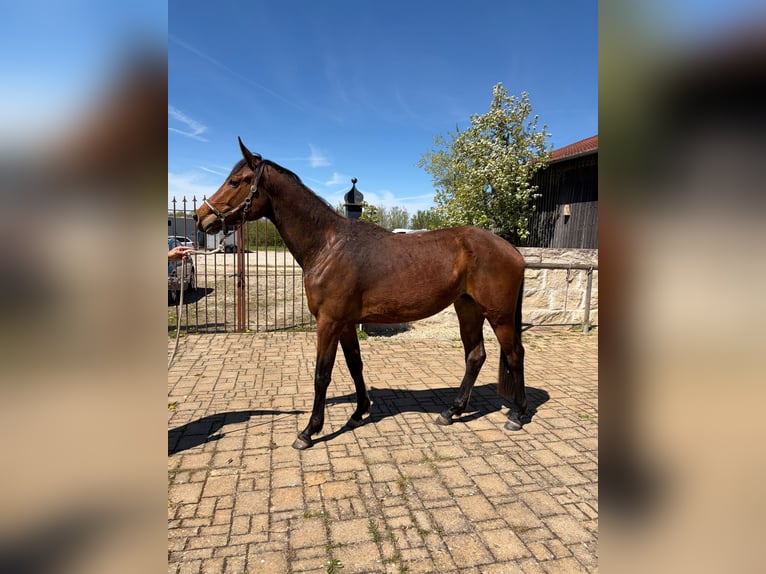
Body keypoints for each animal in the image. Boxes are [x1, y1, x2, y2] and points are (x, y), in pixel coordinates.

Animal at [195, 138, 528, 450]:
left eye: (235, 181)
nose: (201, 217)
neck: (327, 246)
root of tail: (512, 250)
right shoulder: (344, 323)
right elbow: (355, 364)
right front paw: (358, 413)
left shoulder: (328, 322)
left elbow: (322, 374)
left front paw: (309, 431)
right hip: (467, 308)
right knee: (475, 355)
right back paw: (451, 411)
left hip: (499, 315)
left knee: (514, 354)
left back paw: (516, 415)